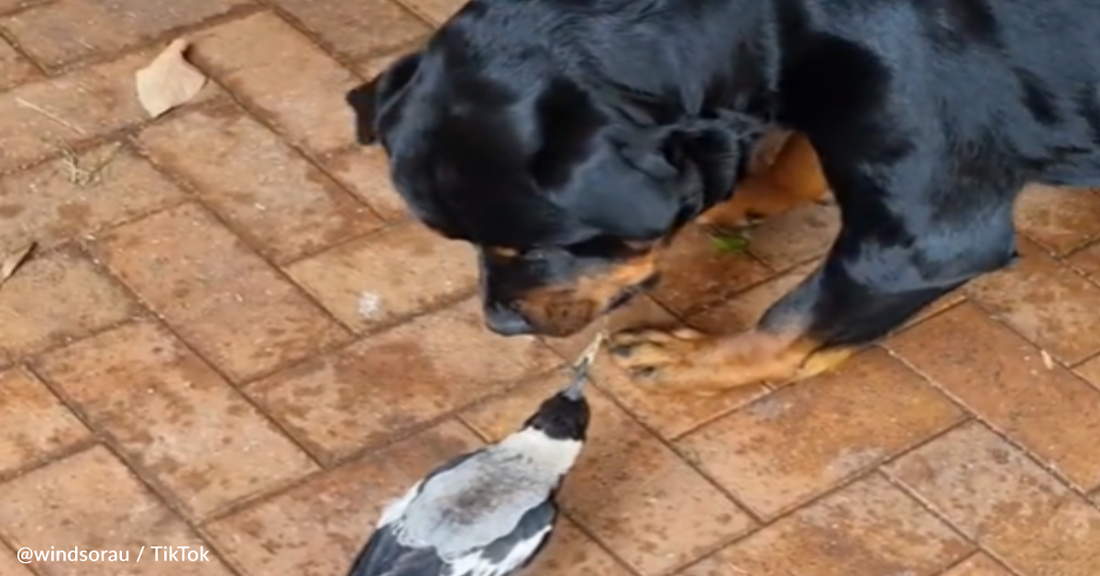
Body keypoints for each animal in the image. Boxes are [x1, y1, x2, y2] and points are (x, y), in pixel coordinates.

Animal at [347, 0, 1100, 393]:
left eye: (541, 247)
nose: (500, 324)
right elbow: (802, 153)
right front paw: (745, 194)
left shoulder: (926, 244)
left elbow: (790, 324)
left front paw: (695, 360)